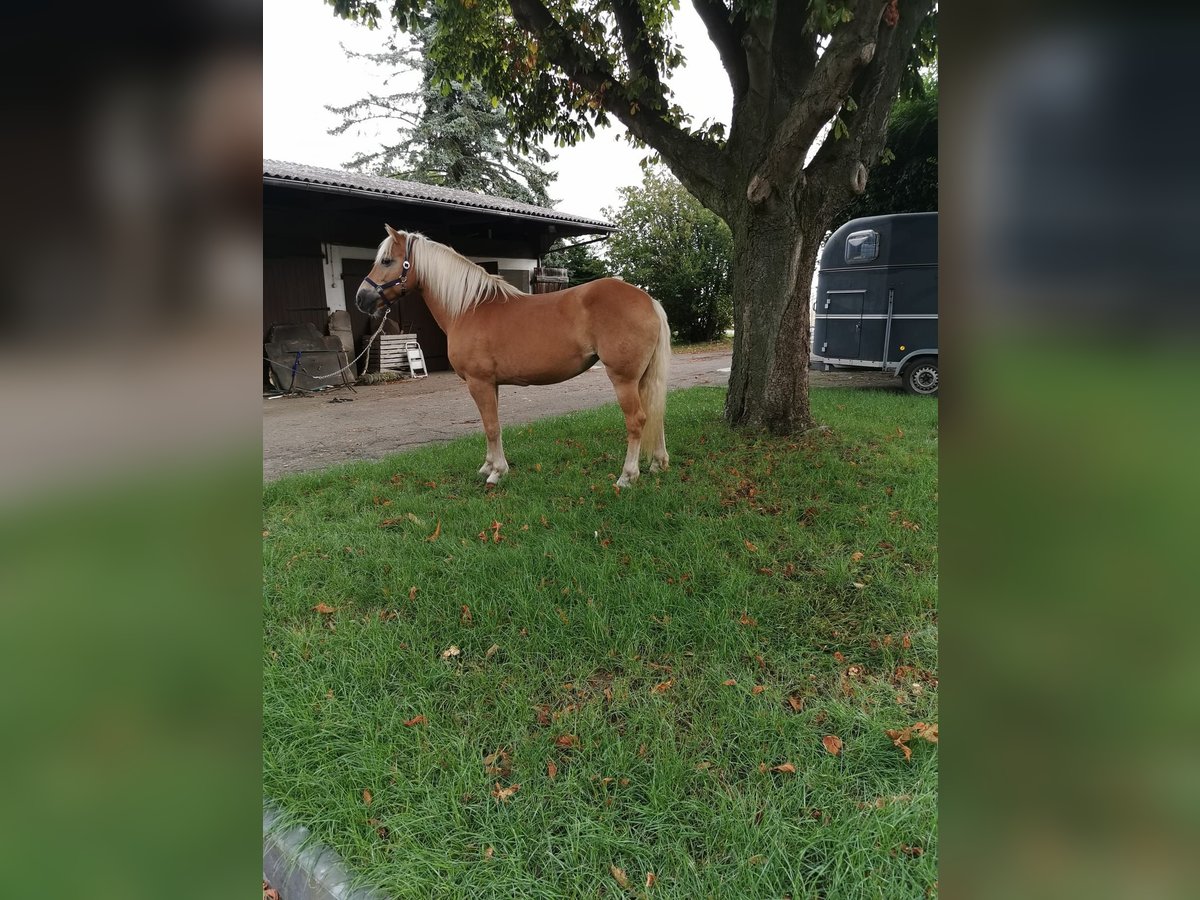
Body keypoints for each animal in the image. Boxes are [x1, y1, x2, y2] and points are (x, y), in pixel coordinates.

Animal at [355, 229, 676, 489]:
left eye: (387, 261)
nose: (361, 298)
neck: (469, 308)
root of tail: (648, 300)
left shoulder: (479, 382)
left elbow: (492, 426)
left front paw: (497, 473)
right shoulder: (490, 384)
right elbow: (490, 425)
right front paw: (487, 466)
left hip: (623, 379)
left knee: (637, 420)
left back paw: (627, 476)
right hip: (643, 377)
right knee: (655, 414)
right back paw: (657, 464)